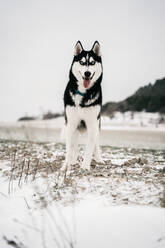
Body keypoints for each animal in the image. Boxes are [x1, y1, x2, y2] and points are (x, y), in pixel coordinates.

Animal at [63, 41, 104, 170]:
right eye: (81, 62)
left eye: (92, 62)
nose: (87, 73)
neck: (83, 93)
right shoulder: (71, 123)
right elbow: (69, 148)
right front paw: (66, 165)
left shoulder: (92, 124)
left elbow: (89, 148)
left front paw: (85, 166)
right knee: (74, 145)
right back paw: (73, 161)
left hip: (97, 125)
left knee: (96, 144)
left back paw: (99, 159)